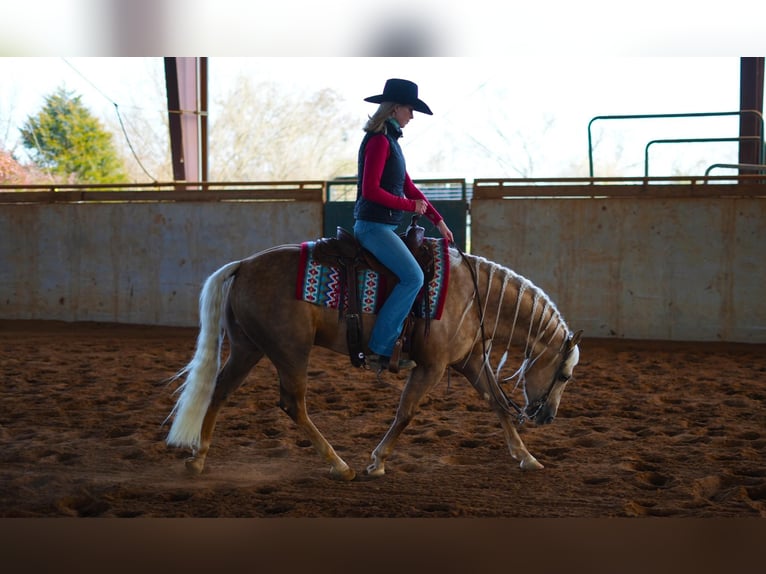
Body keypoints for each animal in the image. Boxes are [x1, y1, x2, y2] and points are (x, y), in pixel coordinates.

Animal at [166, 243, 584, 482]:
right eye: (564, 374)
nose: (547, 418)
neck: (472, 295)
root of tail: (244, 264)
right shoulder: (431, 367)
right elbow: (406, 412)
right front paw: (377, 461)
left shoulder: (469, 362)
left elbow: (496, 403)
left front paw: (527, 458)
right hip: (290, 351)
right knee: (293, 404)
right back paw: (339, 465)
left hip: (248, 347)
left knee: (219, 391)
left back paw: (198, 459)